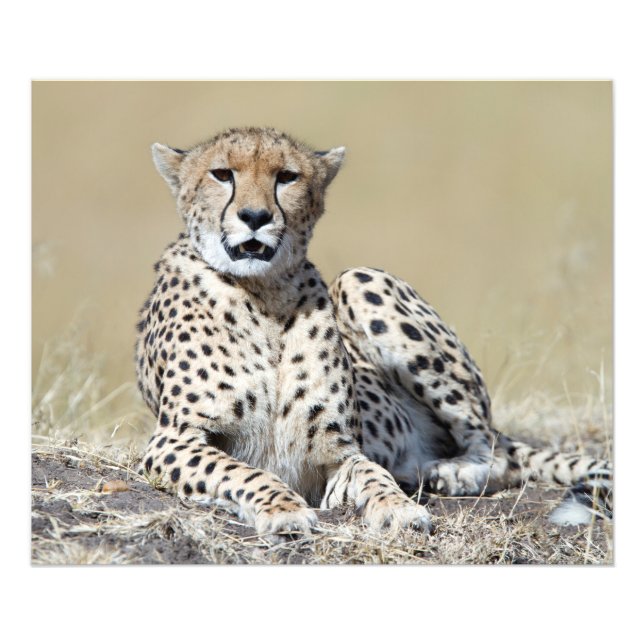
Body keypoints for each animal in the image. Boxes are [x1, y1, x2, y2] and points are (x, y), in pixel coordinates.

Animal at [135, 126, 611, 538]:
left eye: (287, 177)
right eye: (222, 174)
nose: (255, 216)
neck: (264, 293)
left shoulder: (341, 452)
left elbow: (372, 472)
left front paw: (398, 507)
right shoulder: (173, 439)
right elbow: (241, 470)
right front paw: (283, 508)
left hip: (359, 279)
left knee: (495, 447)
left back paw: (454, 471)